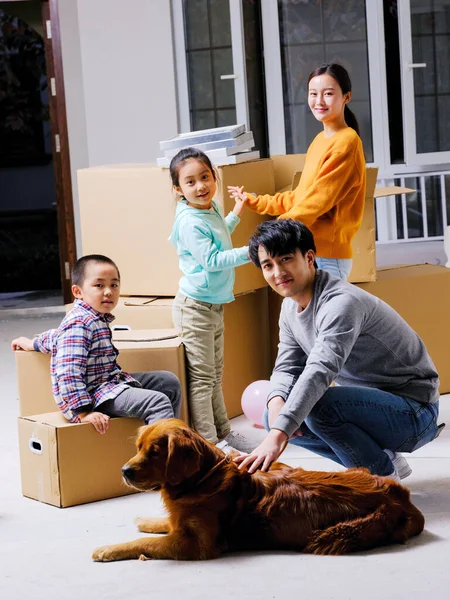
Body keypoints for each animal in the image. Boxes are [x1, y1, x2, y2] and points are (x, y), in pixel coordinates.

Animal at [92, 418, 426, 564]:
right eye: (138, 448)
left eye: (155, 452)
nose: (124, 471)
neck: (201, 480)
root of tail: (401, 498)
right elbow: (163, 524)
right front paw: (146, 521)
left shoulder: (197, 546)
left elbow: (143, 543)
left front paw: (108, 549)